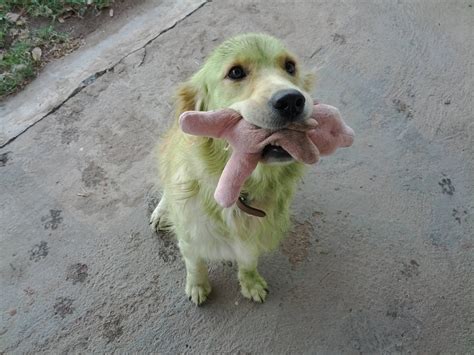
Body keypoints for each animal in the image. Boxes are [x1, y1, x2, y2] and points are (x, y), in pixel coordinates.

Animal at [150, 34, 324, 306]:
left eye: (290, 66)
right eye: (236, 72)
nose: (292, 101)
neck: (241, 190)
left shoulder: (255, 235)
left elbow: (248, 263)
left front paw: (250, 284)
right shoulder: (190, 235)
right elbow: (195, 264)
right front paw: (197, 286)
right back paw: (160, 212)